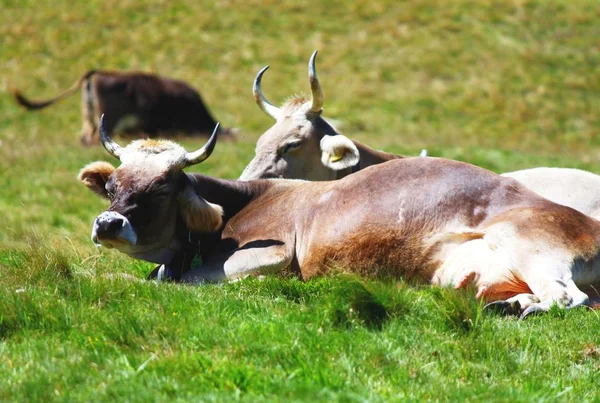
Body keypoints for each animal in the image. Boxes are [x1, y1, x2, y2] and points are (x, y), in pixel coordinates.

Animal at [77, 115, 600, 318]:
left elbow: (182, 284)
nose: (107, 224)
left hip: (531, 246)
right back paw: (510, 305)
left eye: (162, 186)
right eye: (114, 183)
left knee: (568, 298)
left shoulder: (272, 255)